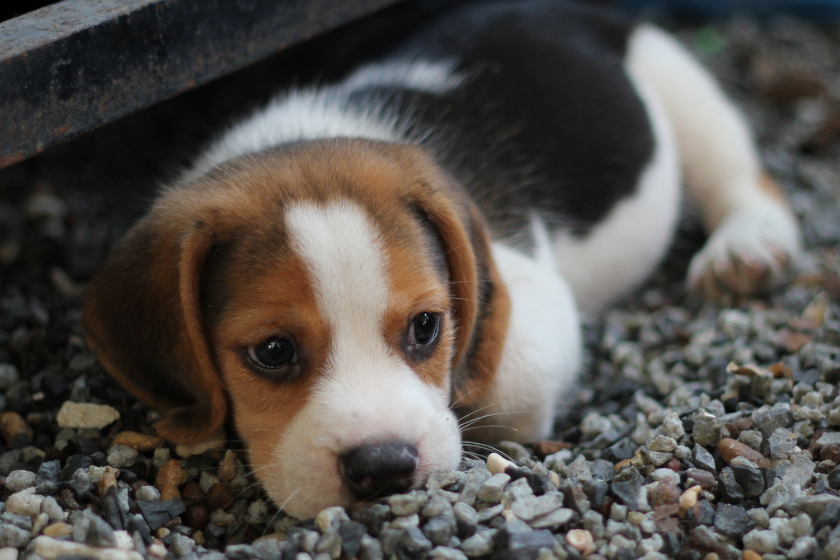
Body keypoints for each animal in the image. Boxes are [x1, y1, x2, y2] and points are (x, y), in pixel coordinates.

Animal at [83, 0, 800, 520]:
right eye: (273, 352)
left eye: (426, 327)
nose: (384, 467)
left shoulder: (530, 296)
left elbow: (501, 380)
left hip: (677, 80)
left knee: (741, 175)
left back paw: (747, 248)